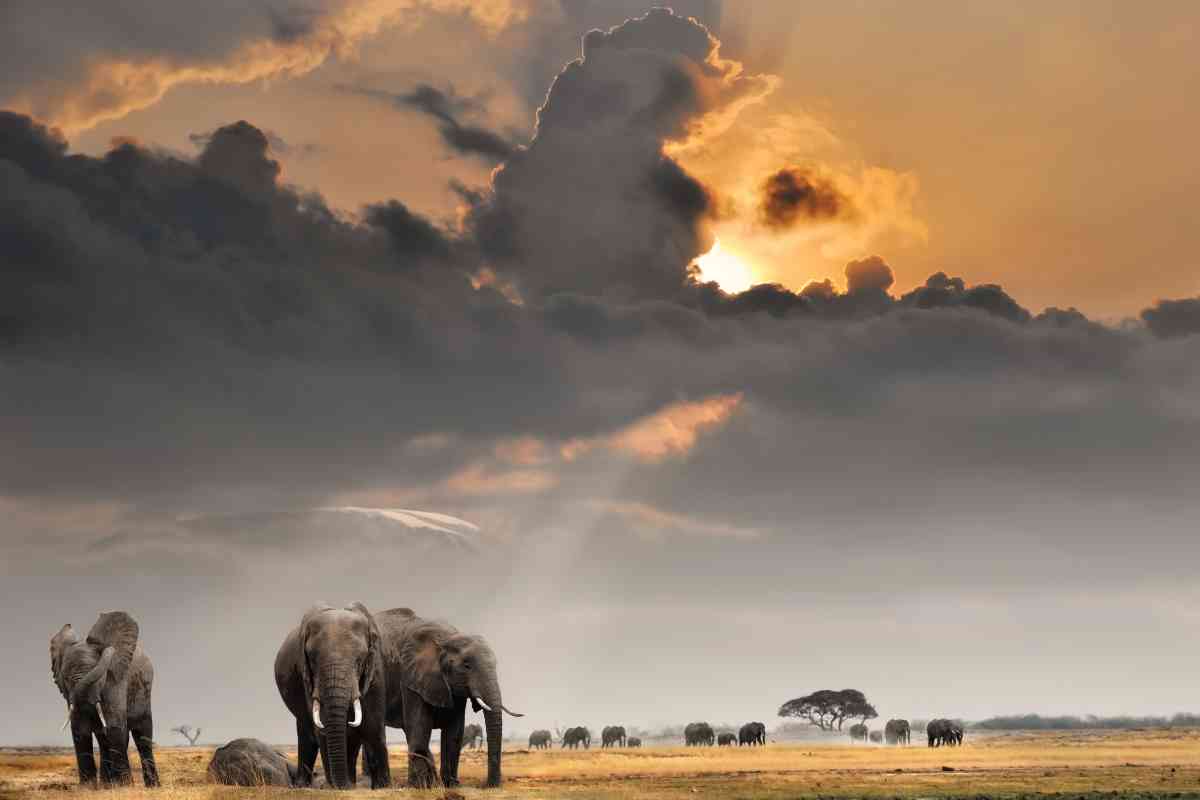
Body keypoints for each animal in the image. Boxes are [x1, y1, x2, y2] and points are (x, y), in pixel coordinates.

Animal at [50, 614, 159, 786]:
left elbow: (114, 723)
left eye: (100, 677)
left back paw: (152, 787)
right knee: (106, 736)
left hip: (144, 688)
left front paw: (124, 786)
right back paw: (108, 785)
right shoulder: (68, 693)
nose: (108, 649)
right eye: (66, 679)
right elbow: (80, 728)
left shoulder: (116, 678)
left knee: (142, 734)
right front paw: (88, 788)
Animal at [274, 604, 388, 791]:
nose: (344, 786)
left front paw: (383, 787)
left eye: (359, 661)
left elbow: (373, 725)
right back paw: (303, 785)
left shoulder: (375, 671)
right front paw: (335, 786)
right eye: (312, 660)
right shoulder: (308, 679)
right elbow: (322, 728)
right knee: (306, 733)